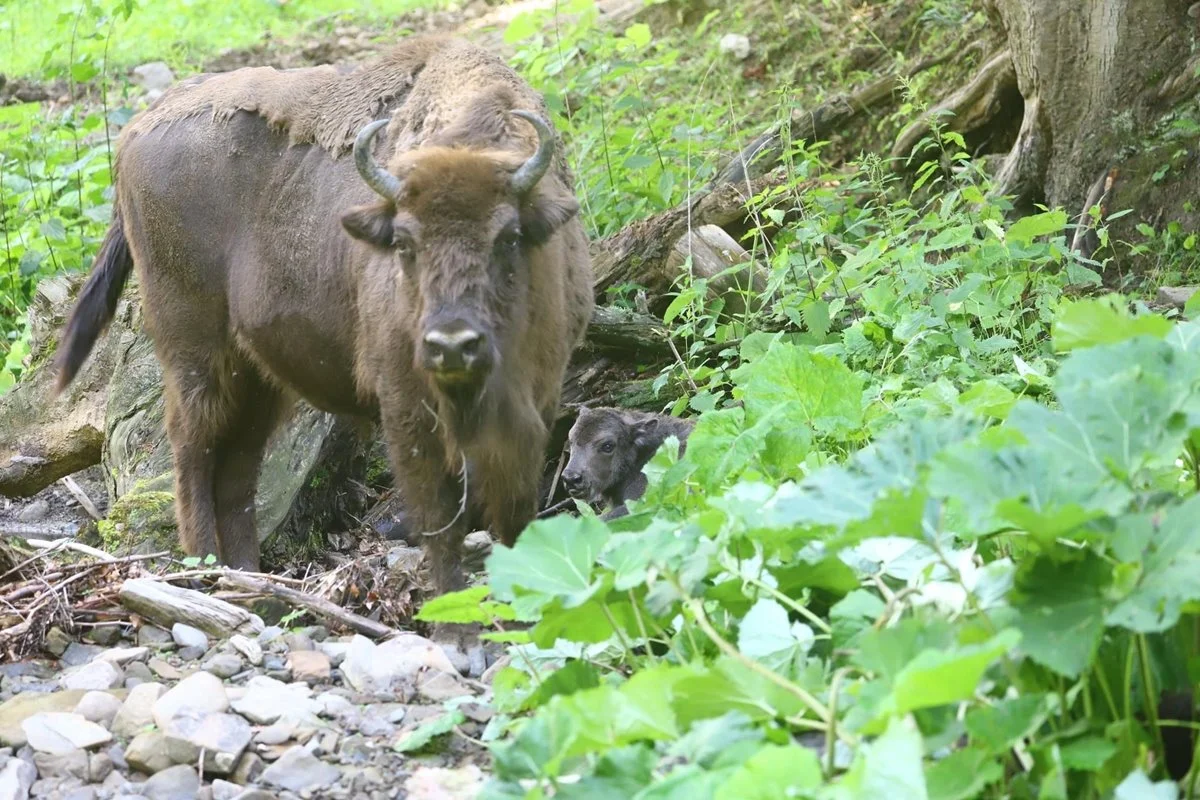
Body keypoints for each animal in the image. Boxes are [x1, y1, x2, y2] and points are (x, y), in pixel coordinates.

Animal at [52, 35, 595, 633]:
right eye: (403, 242)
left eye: (510, 237)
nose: (452, 346)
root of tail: (136, 130)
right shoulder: (405, 407)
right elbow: (439, 520)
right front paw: (456, 619)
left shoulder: (535, 404)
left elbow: (514, 512)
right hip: (194, 350)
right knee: (193, 449)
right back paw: (204, 575)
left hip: (257, 377)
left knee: (236, 470)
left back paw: (253, 585)